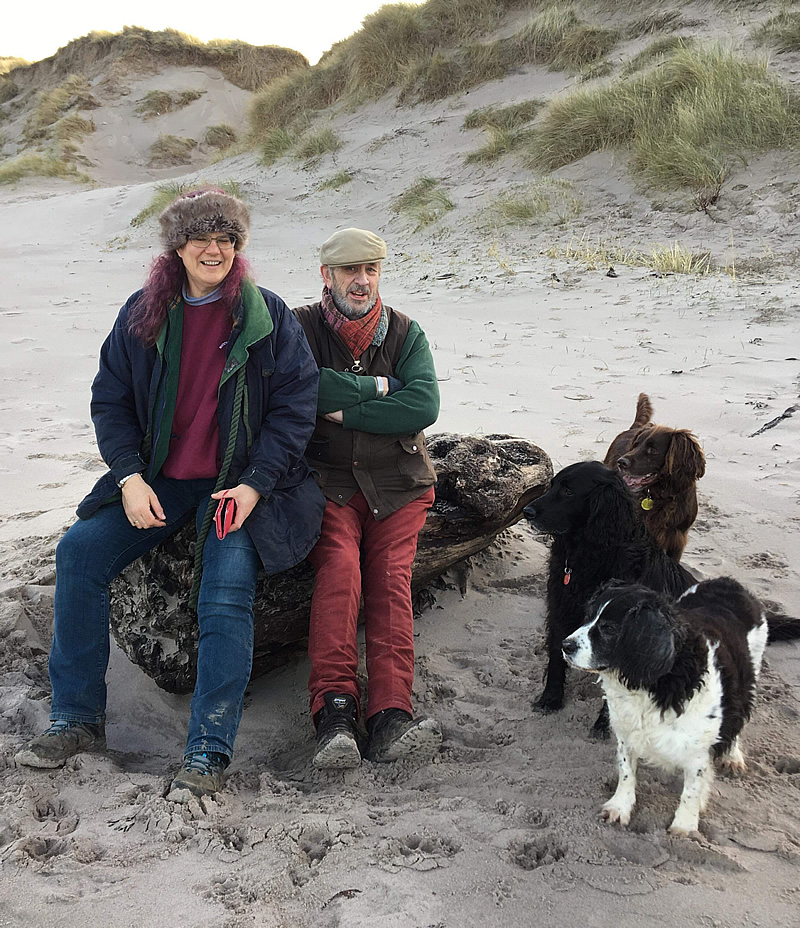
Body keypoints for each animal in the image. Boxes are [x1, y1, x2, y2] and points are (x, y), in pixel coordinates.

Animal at [520, 460, 696, 728]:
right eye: (552, 486)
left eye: (569, 492)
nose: (526, 511)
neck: (593, 554)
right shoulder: (561, 609)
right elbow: (556, 660)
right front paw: (550, 699)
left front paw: (604, 723)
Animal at [560, 576, 796, 836]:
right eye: (588, 617)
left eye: (608, 628)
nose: (565, 645)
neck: (652, 685)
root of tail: (728, 582)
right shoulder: (627, 733)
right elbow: (626, 772)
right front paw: (619, 807)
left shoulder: (697, 749)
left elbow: (691, 790)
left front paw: (684, 827)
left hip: (750, 670)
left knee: (738, 719)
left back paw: (732, 756)